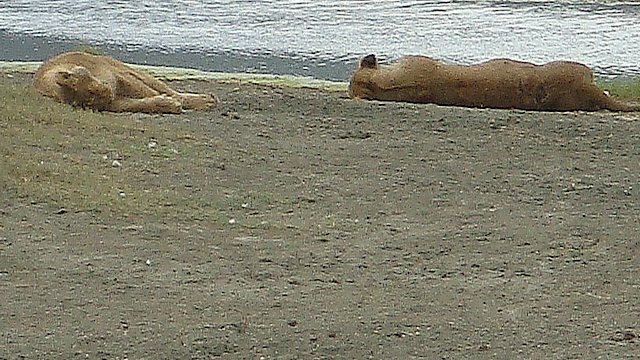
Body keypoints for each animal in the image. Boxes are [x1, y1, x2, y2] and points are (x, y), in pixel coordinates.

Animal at [33, 51, 219, 113]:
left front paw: (174, 102)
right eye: (92, 95)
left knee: (162, 86)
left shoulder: (117, 73)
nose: (108, 90)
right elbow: (141, 103)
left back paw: (208, 99)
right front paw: (168, 104)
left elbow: (149, 91)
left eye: (93, 90)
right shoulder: (114, 103)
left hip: (121, 66)